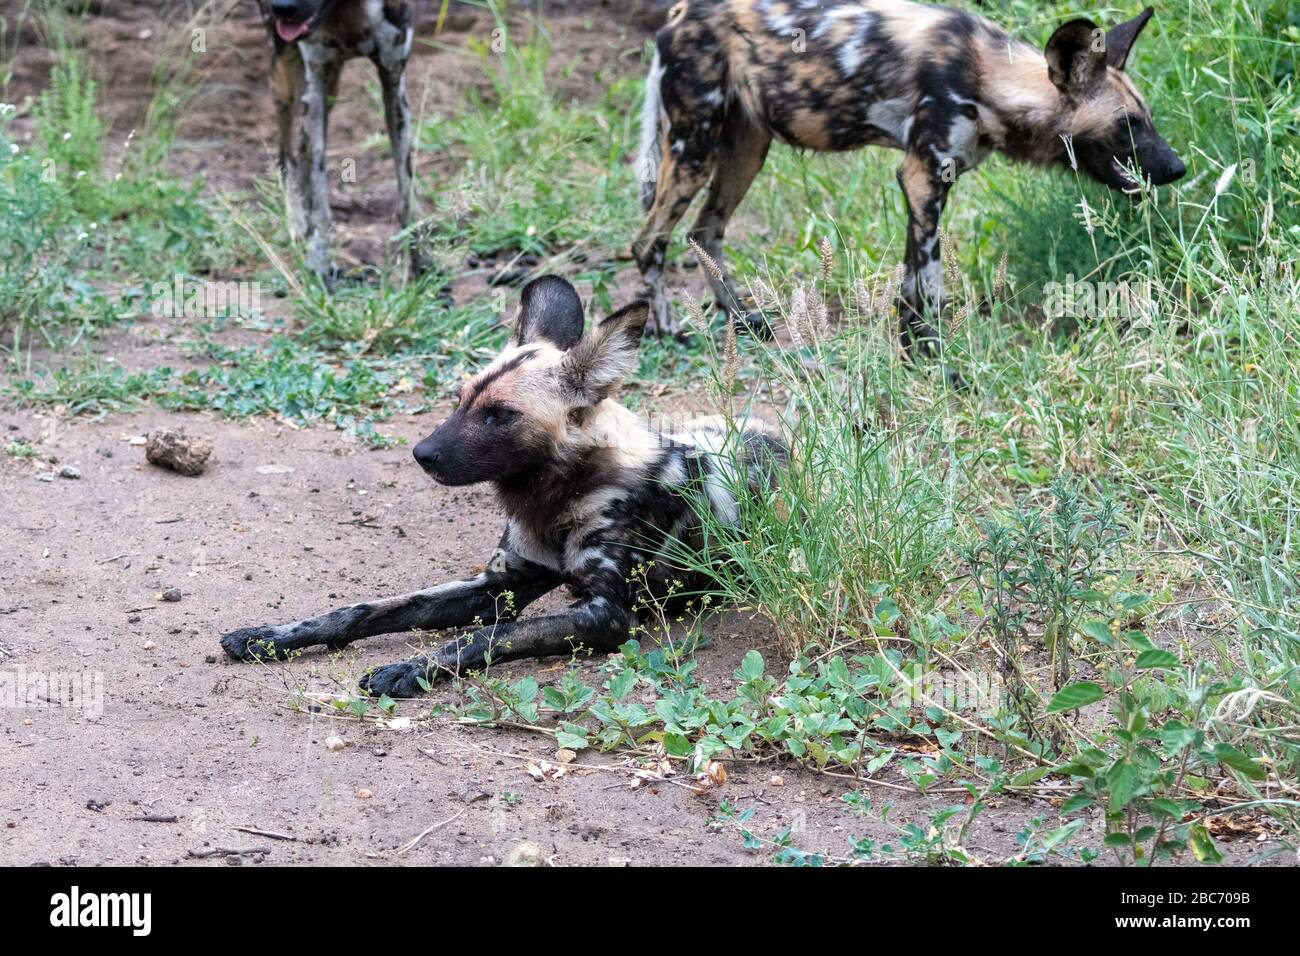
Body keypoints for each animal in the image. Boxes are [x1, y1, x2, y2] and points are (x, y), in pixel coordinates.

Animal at [218, 277, 780, 697]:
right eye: (461, 398)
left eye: (500, 415)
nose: (422, 453)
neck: (553, 498)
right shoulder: (497, 586)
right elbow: (364, 610)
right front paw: (271, 637)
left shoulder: (605, 614)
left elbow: (491, 635)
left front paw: (412, 669)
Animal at [257, 1, 426, 280]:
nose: (281, 7)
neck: (348, 12)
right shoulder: (314, 87)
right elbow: (320, 203)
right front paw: (318, 264)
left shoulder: (393, 85)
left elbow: (407, 197)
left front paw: (423, 261)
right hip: (286, 84)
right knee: (286, 157)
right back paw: (298, 225)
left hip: (329, 91)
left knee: (300, 151)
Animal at [634, 0, 1185, 348]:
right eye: (1127, 125)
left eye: (1148, 119)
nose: (1179, 167)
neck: (989, 77)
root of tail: (680, 13)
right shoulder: (924, 176)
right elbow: (930, 284)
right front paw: (935, 360)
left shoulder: (929, 183)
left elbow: (911, 284)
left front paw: (913, 350)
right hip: (694, 150)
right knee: (648, 242)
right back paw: (667, 327)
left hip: (746, 150)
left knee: (703, 231)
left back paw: (742, 320)